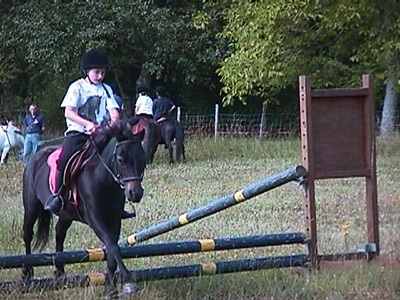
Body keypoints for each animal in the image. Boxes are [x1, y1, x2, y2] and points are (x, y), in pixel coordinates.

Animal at [21, 119, 147, 298]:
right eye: (121, 159)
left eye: (143, 158)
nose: (135, 193)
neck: (102, 178)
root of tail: (35, 157)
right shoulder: (96, 220)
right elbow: (114, 248)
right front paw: (129, 284)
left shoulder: (114, 220)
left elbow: (111, 255)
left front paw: (111, 291)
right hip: (31, 206)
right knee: (28, 234)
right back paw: (27, 272)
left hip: (66, 214)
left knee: (59, 234)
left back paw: (59, 272)